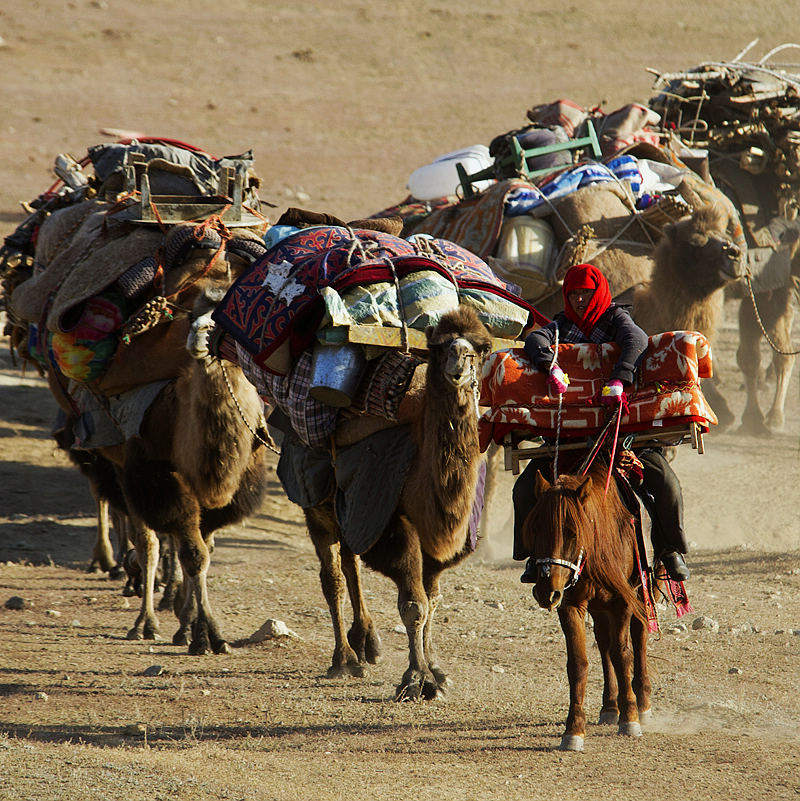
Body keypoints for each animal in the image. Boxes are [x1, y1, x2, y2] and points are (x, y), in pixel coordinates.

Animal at [304, 304, 494, 696]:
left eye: (482, 348)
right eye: (438, 346)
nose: (459, 362)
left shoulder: (437, 545)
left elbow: (433, 600)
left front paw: (436, 669)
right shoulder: (394, 526)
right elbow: (413, 604)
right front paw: (417, 679)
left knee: (351, 563)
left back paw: (367, 643)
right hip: (317, 503)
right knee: (333, 577)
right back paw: (344, 660)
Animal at [524, 456, 648, 752]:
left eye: (571, 532)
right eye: (535, 529)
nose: (545, 592)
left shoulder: (623, 601)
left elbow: (623, 653)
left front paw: (630, 719)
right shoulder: (570, 604)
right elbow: (578, 663)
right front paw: (574, 731)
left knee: (639, 636)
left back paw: (643, 703)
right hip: (598, 607)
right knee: (603, 644)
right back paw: (609, 707)